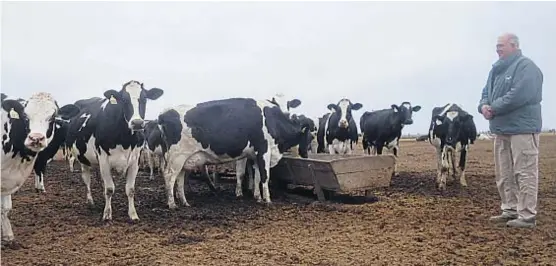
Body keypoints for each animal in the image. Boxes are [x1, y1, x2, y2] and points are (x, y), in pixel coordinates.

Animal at [0, 92, 79, 245]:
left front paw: (8, 236)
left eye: (53, 117)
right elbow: (40, 171)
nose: (36, 138)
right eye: (25, 116)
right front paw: (41, 188)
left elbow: (5, 208)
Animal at [64, 80, 163, 221]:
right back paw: (90, 201)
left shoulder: (135, 161)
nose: (137, 123)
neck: (125, 140)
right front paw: (107, 214)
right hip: (83, 159)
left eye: (144, 99)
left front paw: (133, 214)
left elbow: (130, 190)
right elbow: (110, 189)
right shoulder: (104, 159)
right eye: (124, 100)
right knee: (87, 180)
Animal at [156, 98, 312, 208]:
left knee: (179, 178)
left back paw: (184, 202)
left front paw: (258, 197)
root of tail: (164, 113)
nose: (305, 155)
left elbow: (254, 176)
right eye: (310, 136)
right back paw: (172, 204)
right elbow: (264, 176)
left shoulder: (254, 155)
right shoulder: (264, 150)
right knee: (169, 176)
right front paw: (268, 200)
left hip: (184, 159)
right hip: (177, 157)